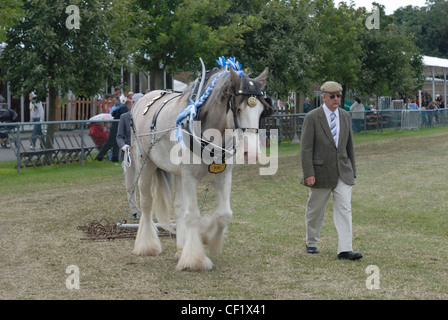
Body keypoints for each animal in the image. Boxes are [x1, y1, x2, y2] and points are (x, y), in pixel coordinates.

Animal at [128, 61, 272, 272]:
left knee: (179, 207)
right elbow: (193, 216)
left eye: (262, 111)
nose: (251, 153)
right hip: (145, 164)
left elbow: (224, 214)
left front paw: (208, 237)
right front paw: (195, 259)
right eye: (238, 108)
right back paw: (147, 246)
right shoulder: (190, 176)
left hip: (177, 173)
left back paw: (181, 247)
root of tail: (144, 98)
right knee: (147, 204)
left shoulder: (223, 176)